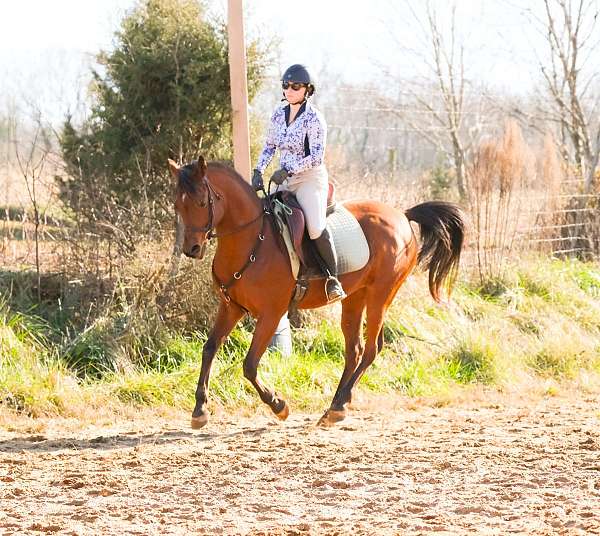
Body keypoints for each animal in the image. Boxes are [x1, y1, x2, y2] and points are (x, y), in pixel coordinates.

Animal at [166, 155, 466, 428]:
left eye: (202, 203)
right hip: (354, 298)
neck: (252, 240)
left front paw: (278, 405)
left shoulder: (271, 314)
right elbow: (209, 348)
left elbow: (250, 364)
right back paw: (335, 407)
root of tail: (401, 215)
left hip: (381, 295)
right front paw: (200, 410)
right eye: (178, 205)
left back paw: (339, 405)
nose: (191, 249)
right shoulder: (231, 307)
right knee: (354, 350)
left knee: (371, 349)